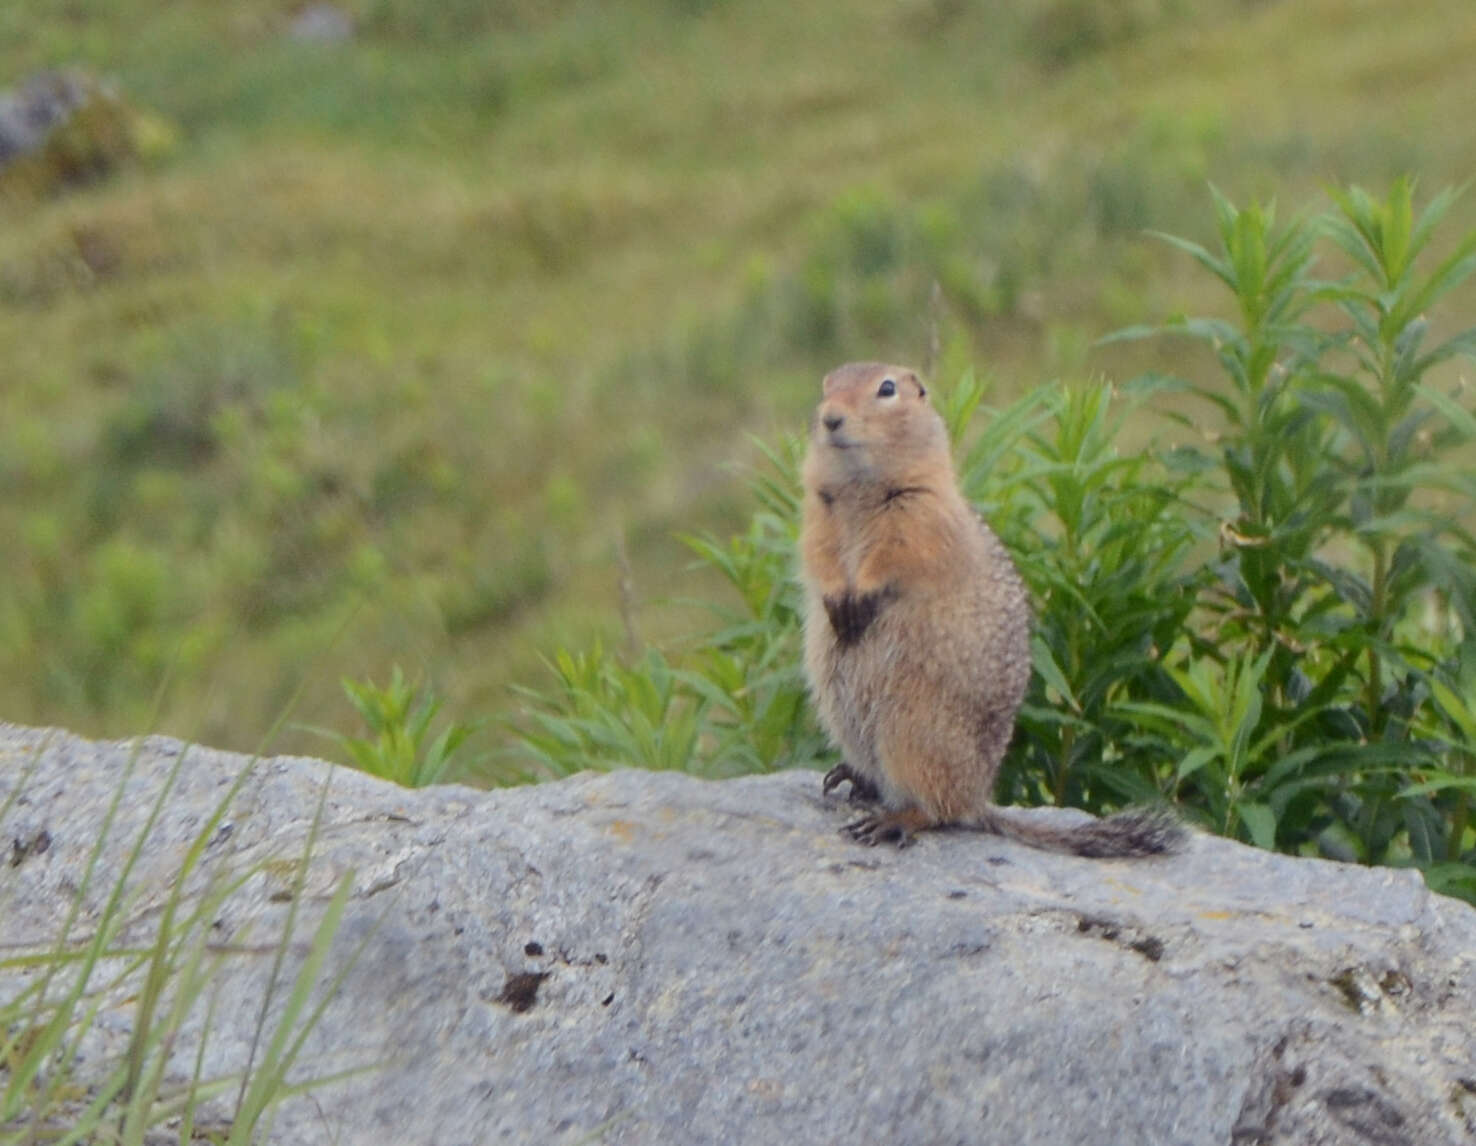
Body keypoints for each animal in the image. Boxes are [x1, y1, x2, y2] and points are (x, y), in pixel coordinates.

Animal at [802, 363, 1180, 856]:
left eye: (887, 389)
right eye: (825, 385)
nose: (829, 418)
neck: (858, 484)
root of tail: (978, 798)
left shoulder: (922, 510)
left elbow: (898, 554)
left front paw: (861, 598)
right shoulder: (817, 510)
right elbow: (818, 553)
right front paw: (837, 600)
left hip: (911, 728)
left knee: (938, 809)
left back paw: (892, 820)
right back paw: (855, 777)